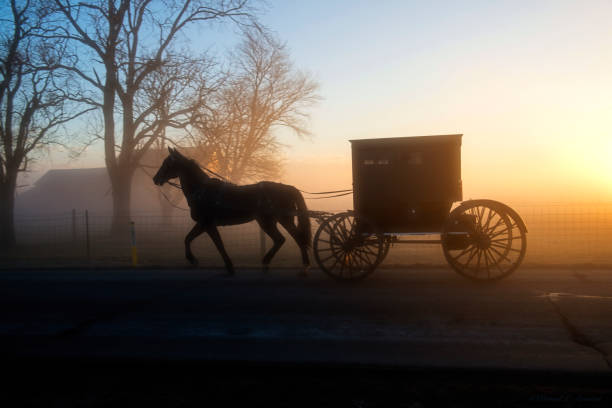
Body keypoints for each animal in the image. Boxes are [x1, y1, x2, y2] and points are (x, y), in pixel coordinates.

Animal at [153, 148, 310, 276]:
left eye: (167, 163)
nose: (155, 179)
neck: (202, 191)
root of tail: (289, 188)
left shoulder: (207, 224)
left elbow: (218, 244)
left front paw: (227, 266)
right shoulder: (204, 224)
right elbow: (188, 238)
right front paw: (194, 260)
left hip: (281, 219)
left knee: (297, 238)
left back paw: (303, 268)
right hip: (268, 221)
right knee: (280, 239)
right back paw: (266, 262)